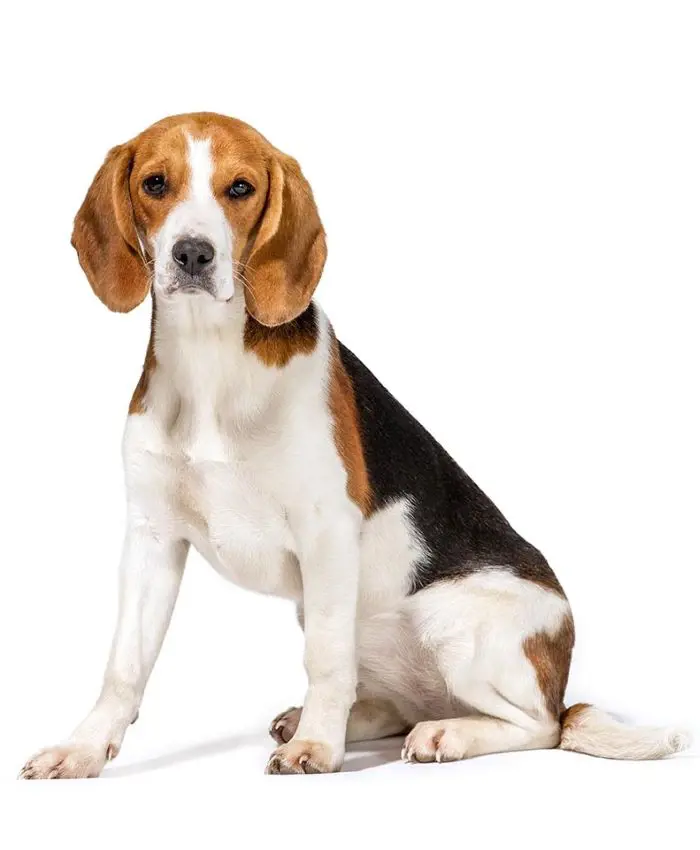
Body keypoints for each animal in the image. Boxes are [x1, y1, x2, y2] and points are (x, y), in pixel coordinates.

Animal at [20, 112, 688, 776]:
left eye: (240, 188)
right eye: (155, 183)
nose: (193, 253)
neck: (211, 360)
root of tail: (562, 680)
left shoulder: (326, 533)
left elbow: (324, 658)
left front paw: (317, 747)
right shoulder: (152, 537)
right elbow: (124, 667)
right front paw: (83, 749)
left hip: (448, 621)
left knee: (540, 727)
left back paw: (444, 733)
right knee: (397, 704)